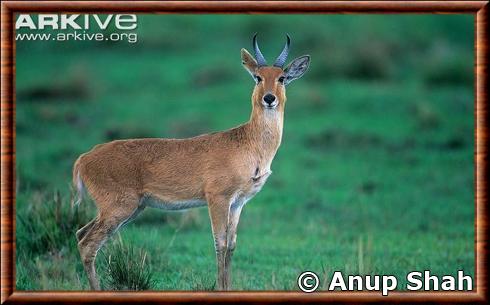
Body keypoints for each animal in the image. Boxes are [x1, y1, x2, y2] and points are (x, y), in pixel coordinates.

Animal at [72, 33, 310, 290]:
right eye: (258, 77)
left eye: (282, 78)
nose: (269, 98)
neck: (248, 143)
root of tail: (84, 158)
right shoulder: (217, 198)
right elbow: (220, 243)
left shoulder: (238, 203)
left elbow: (232, 245)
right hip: (119, 208)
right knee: (87, 244)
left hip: (131, 209)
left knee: (80, 233)